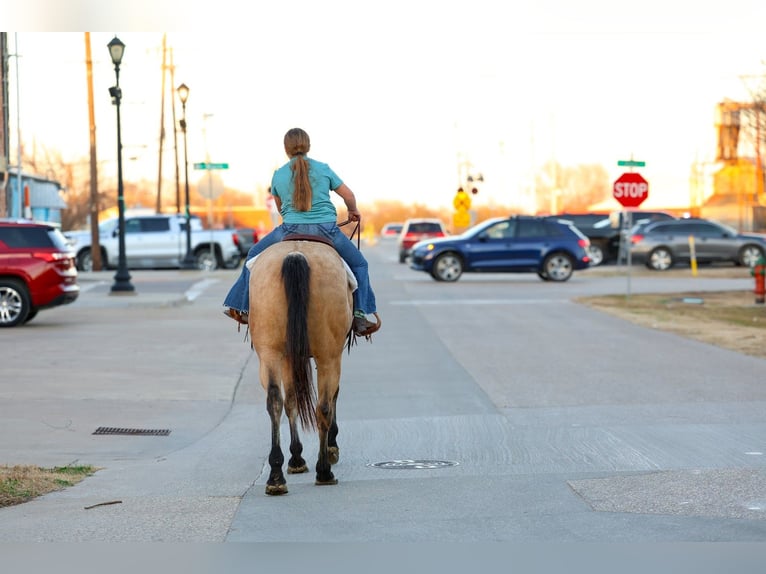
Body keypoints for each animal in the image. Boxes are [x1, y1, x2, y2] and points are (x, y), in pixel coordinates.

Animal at [248, 238, 355, 495]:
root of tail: (296, 254)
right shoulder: (334, 356)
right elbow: (332, 397)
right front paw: (331, 448)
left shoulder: (289, 356)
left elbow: (291, 402)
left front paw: (296, 458)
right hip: (328, 356)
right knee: (324, 406)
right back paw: (324, 471)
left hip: (269, 352)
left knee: (275, 401)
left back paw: (276, 476)